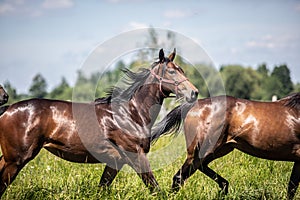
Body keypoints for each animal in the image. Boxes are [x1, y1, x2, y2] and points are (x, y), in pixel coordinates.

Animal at [0, 48, 199, 197]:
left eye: (182, 70)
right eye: (172, 71)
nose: (194, 93)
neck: (131, 113)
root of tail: (7, 109)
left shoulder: (115, 162)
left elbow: (102, 187)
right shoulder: (136, 156)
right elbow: (155, 188)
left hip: (10, 159)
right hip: (16, 160)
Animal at [152, 94, 300, 200]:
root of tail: (193, 105)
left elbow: (292, 187)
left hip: (220, 149)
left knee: (199, 168)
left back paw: (224, 186)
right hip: (205, 150)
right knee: (180, 177)